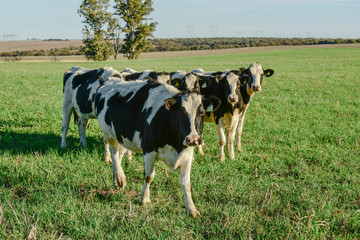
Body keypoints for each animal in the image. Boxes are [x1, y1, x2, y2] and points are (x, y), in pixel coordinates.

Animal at [94, 79, 221, 218]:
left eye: (201, 113)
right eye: (182, 113)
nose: (193, 139)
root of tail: (108, 82)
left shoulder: (188, 154)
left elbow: (186, 183)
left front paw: (191, 209)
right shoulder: (148, 150)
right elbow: (149, 176)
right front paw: (144, 199)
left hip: (124, 137)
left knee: (119, 155)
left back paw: (117, 181)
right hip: (109, 134)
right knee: (114, 154)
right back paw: (120, 178)